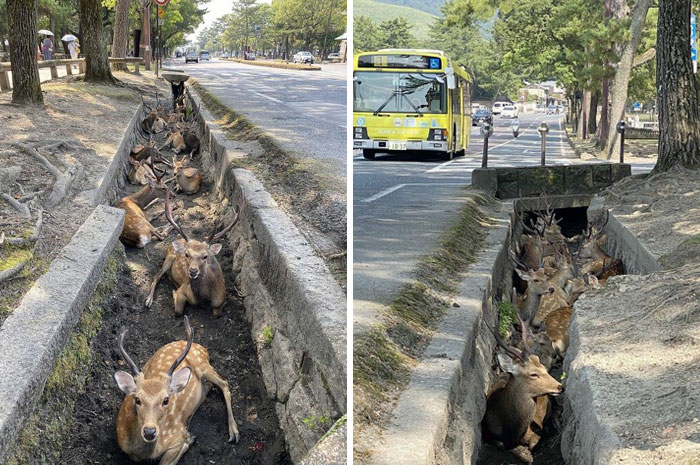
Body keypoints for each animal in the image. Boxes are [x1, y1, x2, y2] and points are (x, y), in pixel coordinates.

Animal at [114, 316, 239, 465]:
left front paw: (189, 439)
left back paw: (234, 432)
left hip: (201, 363)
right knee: (210, 386)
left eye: (166, 400)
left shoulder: (176, 434)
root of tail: (201, 347)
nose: (149, 432)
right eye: (137, 399)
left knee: (224, 383)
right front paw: (190, 438)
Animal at [145, 190, 240, 318]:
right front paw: (173, 291)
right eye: (186, 254)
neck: (204, 298)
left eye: (205, 256)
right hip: (169, 257)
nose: (193, 271)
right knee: (156, 276)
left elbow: (217, 314)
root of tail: (179, 240)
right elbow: (178, 311)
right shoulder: (183, 289)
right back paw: (148, 300)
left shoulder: (221, 298)